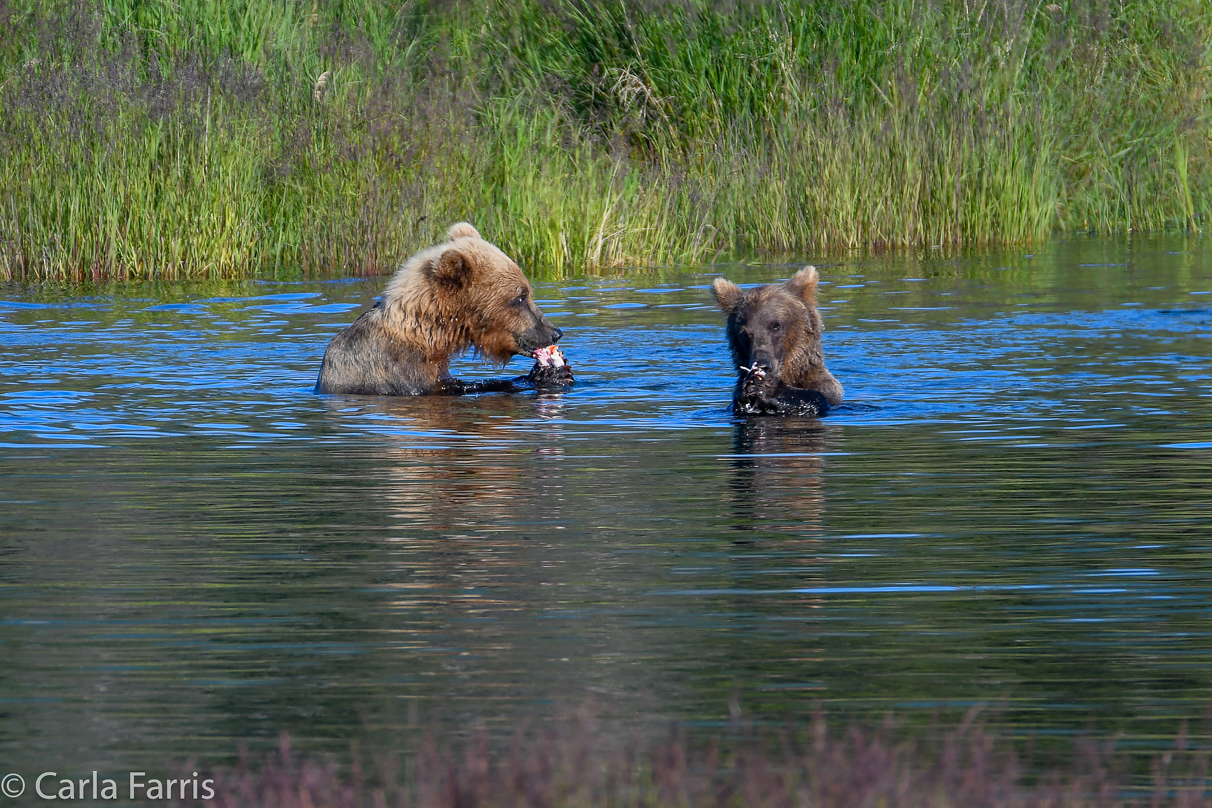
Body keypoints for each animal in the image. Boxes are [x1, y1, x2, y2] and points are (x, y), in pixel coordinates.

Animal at [317, 222, 572, 397]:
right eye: (520, 297)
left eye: (526, 293)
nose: (555, 332)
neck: (430, 336)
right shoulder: (397, 371)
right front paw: (549, 375)